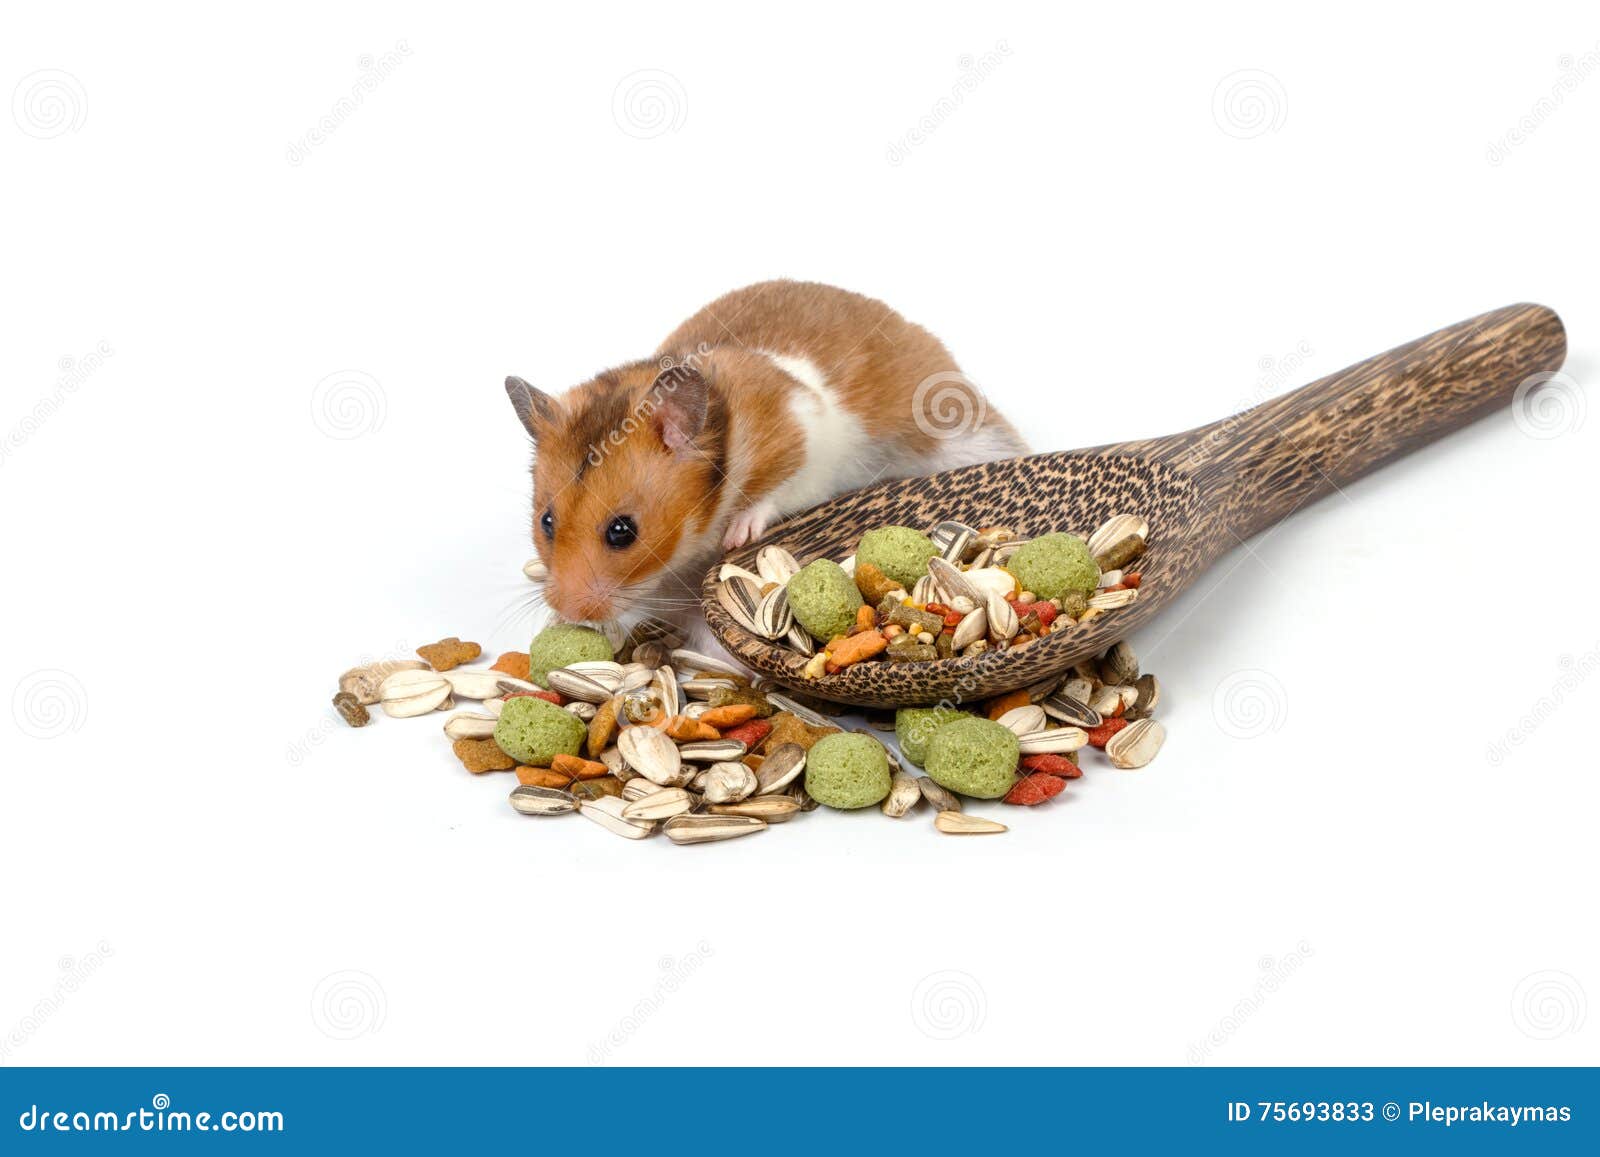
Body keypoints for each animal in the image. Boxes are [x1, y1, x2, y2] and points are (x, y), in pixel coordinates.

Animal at [505, 280, 1027, 637]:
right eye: (546, 522)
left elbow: (771, 495)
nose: (568, 612)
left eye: (622, 531)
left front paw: (739, 535)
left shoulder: (800, 446)